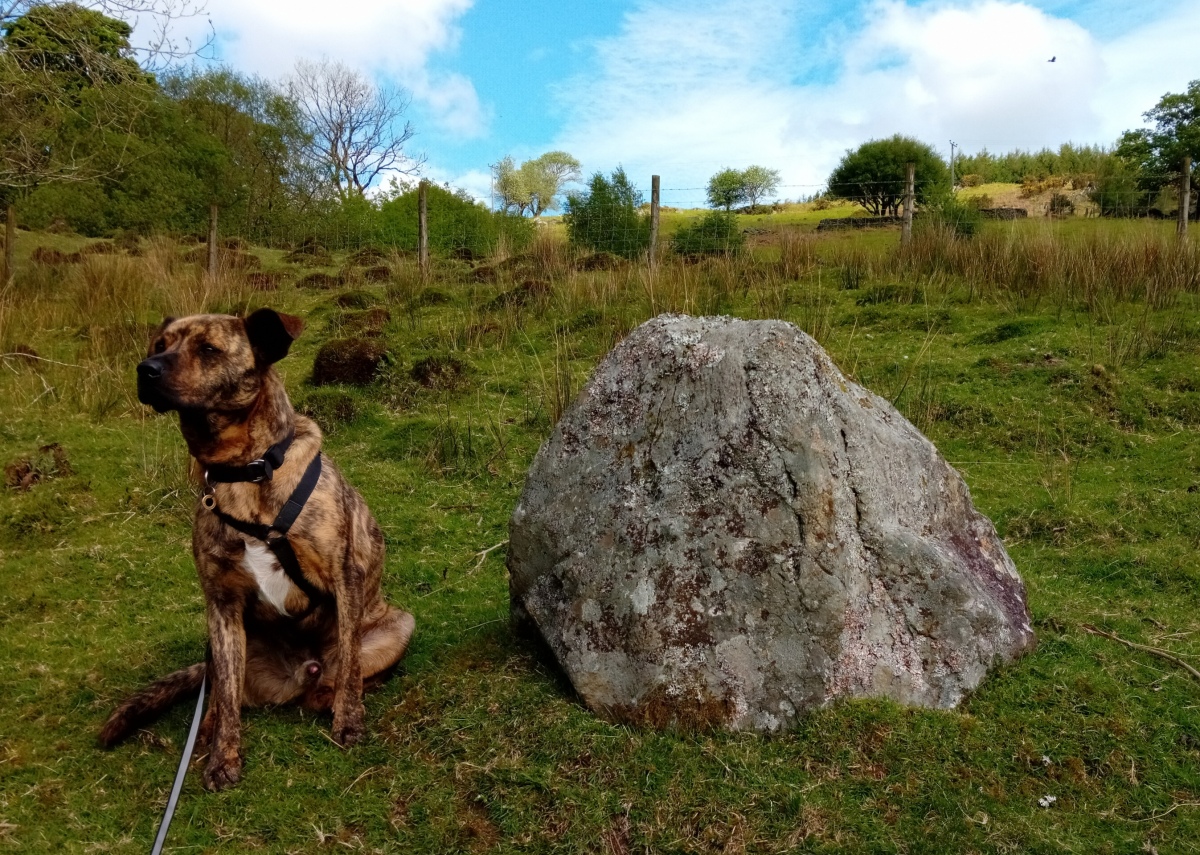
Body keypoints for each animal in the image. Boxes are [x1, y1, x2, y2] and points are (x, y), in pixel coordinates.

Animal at [99, 305, 417, 787]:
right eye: (160, 344)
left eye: (209, 349)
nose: (145, 370)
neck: (244, 472)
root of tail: (303, 673)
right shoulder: (222, 604)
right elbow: (228, 699)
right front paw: (223, 757)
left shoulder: (345, 577)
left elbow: (350, 667)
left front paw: (349, 721)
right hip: (224, 647)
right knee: (219, 691)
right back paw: (208, 728)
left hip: (398, 625)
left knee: (342, 675)